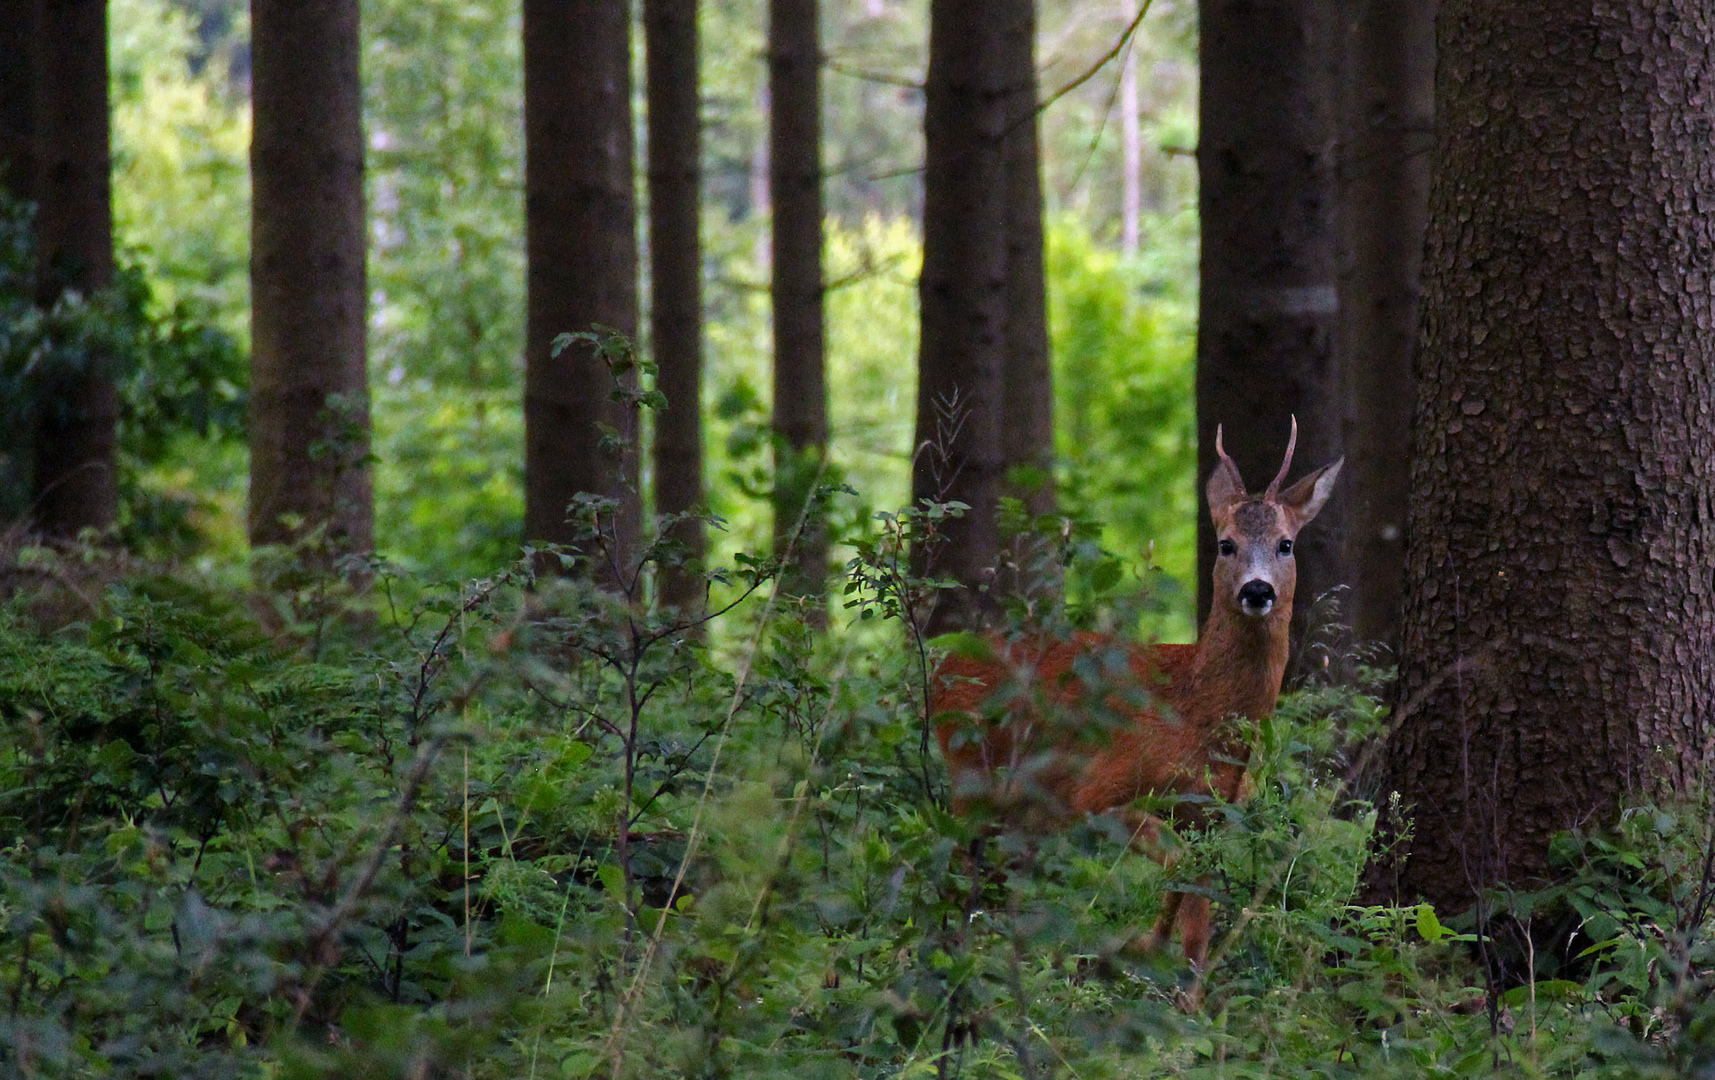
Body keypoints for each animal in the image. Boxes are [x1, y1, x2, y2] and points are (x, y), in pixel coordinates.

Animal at [939, 418, 1337, 980]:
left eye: (1285, 544)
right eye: (1225, 544)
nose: (1257, 591)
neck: (1196, 713)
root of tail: (943, 665)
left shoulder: (1213, 815)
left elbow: (1196, 909)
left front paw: (1177, 976)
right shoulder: (1097, 789)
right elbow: (1179, 868)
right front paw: (1140, 949)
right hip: (972, 779)